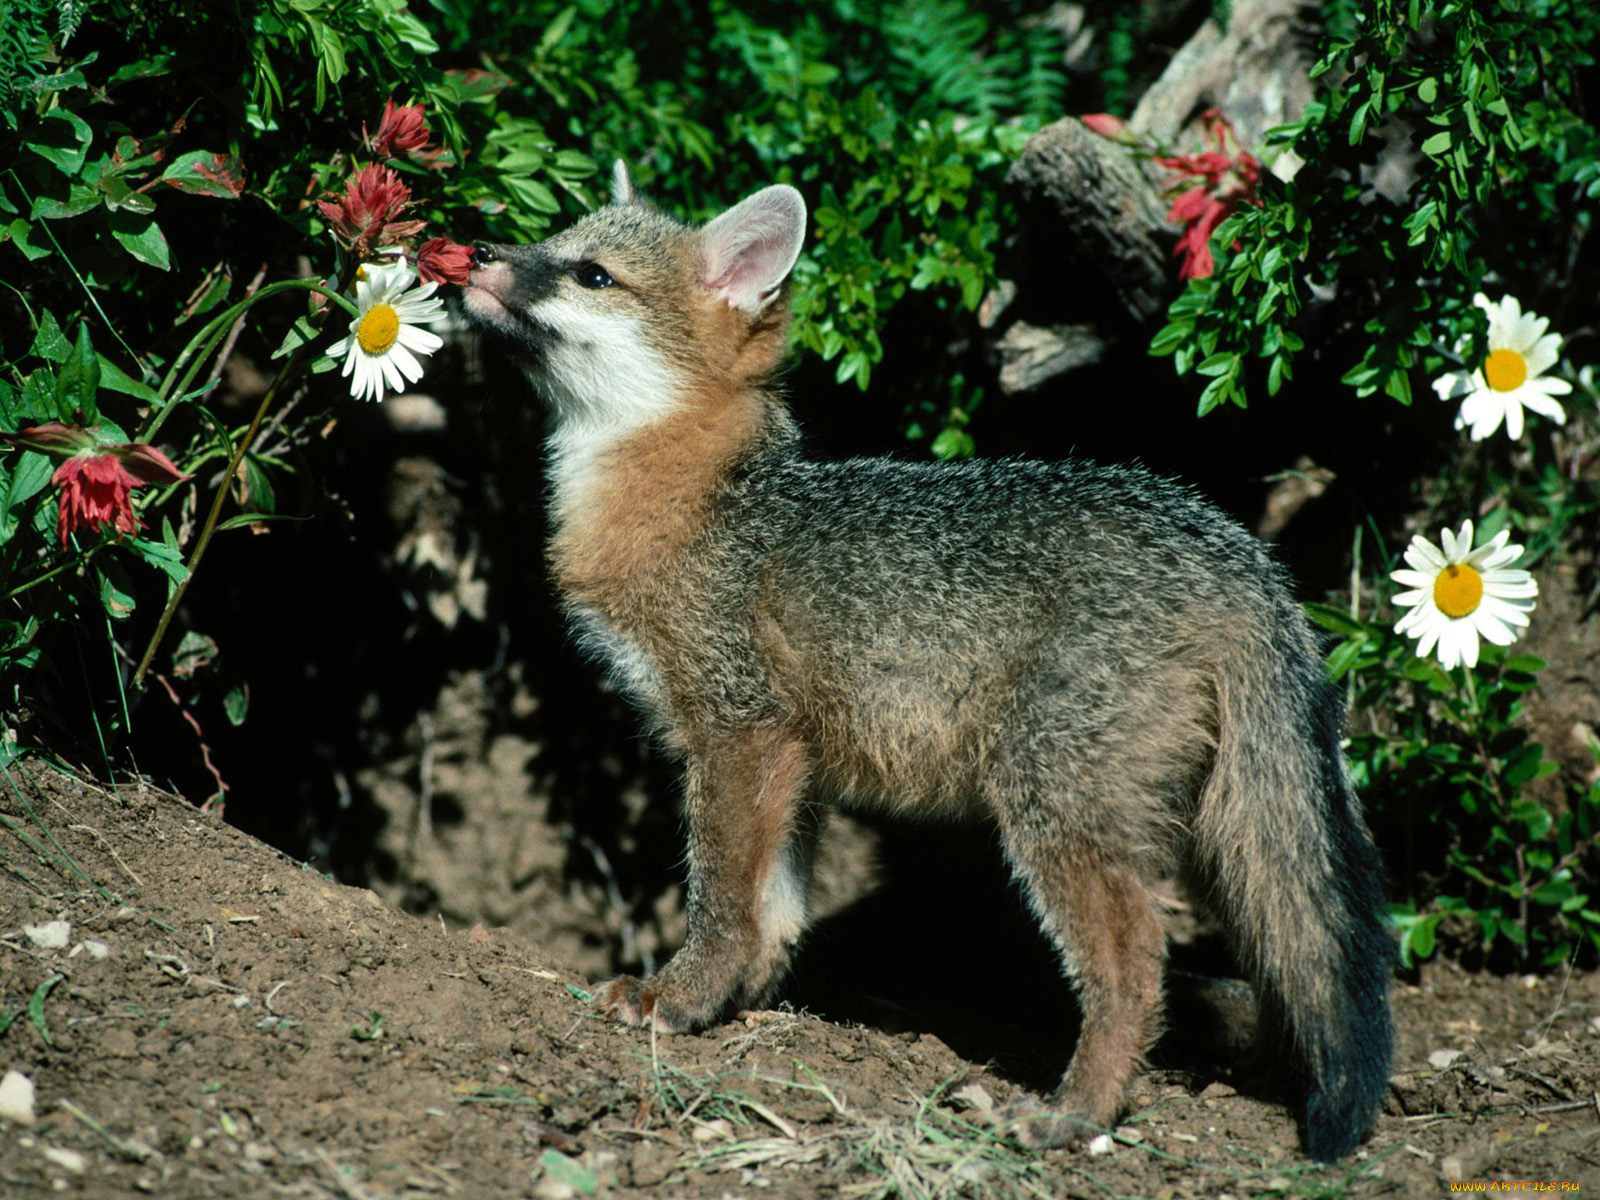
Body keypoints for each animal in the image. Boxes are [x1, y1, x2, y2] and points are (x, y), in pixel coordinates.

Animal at [462, 162, 1395, 1160]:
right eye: (548, 240)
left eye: (590, 274)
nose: (474, 250)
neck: (694, 499)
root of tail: (1235, 553)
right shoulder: (792, 759)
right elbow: (776, 911)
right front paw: (744, 1006)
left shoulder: (736, 731)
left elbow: (721, 896)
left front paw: (679, 997)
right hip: (1210, 827)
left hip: (1053, 806)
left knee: (1138, 965)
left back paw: (1076, 1112)